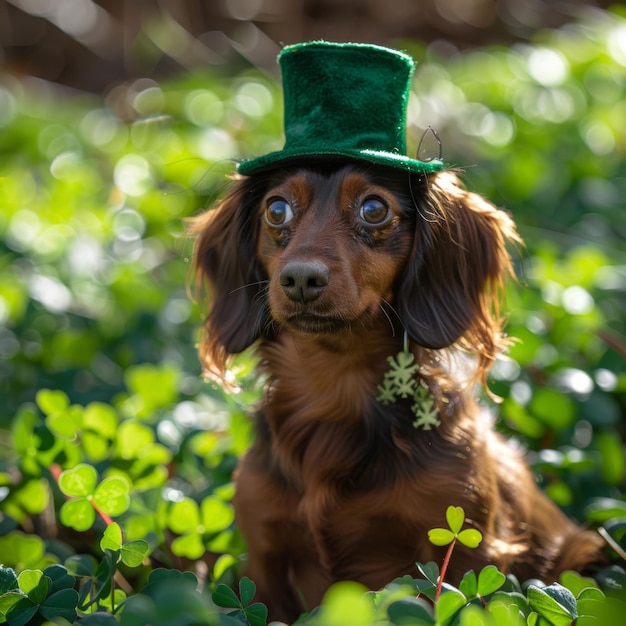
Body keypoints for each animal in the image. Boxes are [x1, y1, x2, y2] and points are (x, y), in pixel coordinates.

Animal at [193, 162, 608, 620]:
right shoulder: (266, 556)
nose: (300, 277)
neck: (333, 387)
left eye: (374, 209)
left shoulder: (466, 550)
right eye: (276, 209)